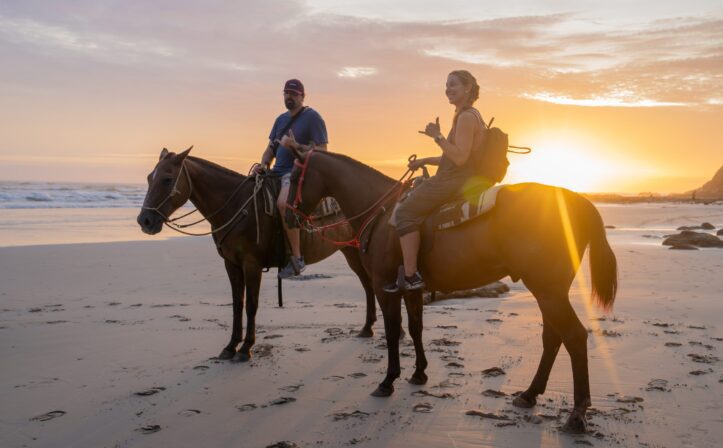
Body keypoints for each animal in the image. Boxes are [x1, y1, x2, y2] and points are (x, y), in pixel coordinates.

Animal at [139, 149, 382, 362]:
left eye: (168, 179)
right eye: (150, 178)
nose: (145, 220)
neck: (236, 206)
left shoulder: (251, 264)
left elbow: (251, 304)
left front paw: (246, 348)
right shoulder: (231, 264)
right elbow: (237, 304)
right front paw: (230, 346)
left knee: (369, 282)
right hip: (349, 249)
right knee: (366, 283)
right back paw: (367, 327)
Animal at [286, 150, 620, 434]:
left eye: (295, 174)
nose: (289, 215)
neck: (382, 214)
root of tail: (576, 200)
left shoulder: (384, 286)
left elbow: (393, 332)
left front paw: (388, 380)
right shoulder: (412, 288)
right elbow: (416, 327)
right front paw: (419, 373)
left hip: (548, 290)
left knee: (574, 336)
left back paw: (576, 414)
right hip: (549, 290)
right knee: (553, 338)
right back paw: (530, 394)